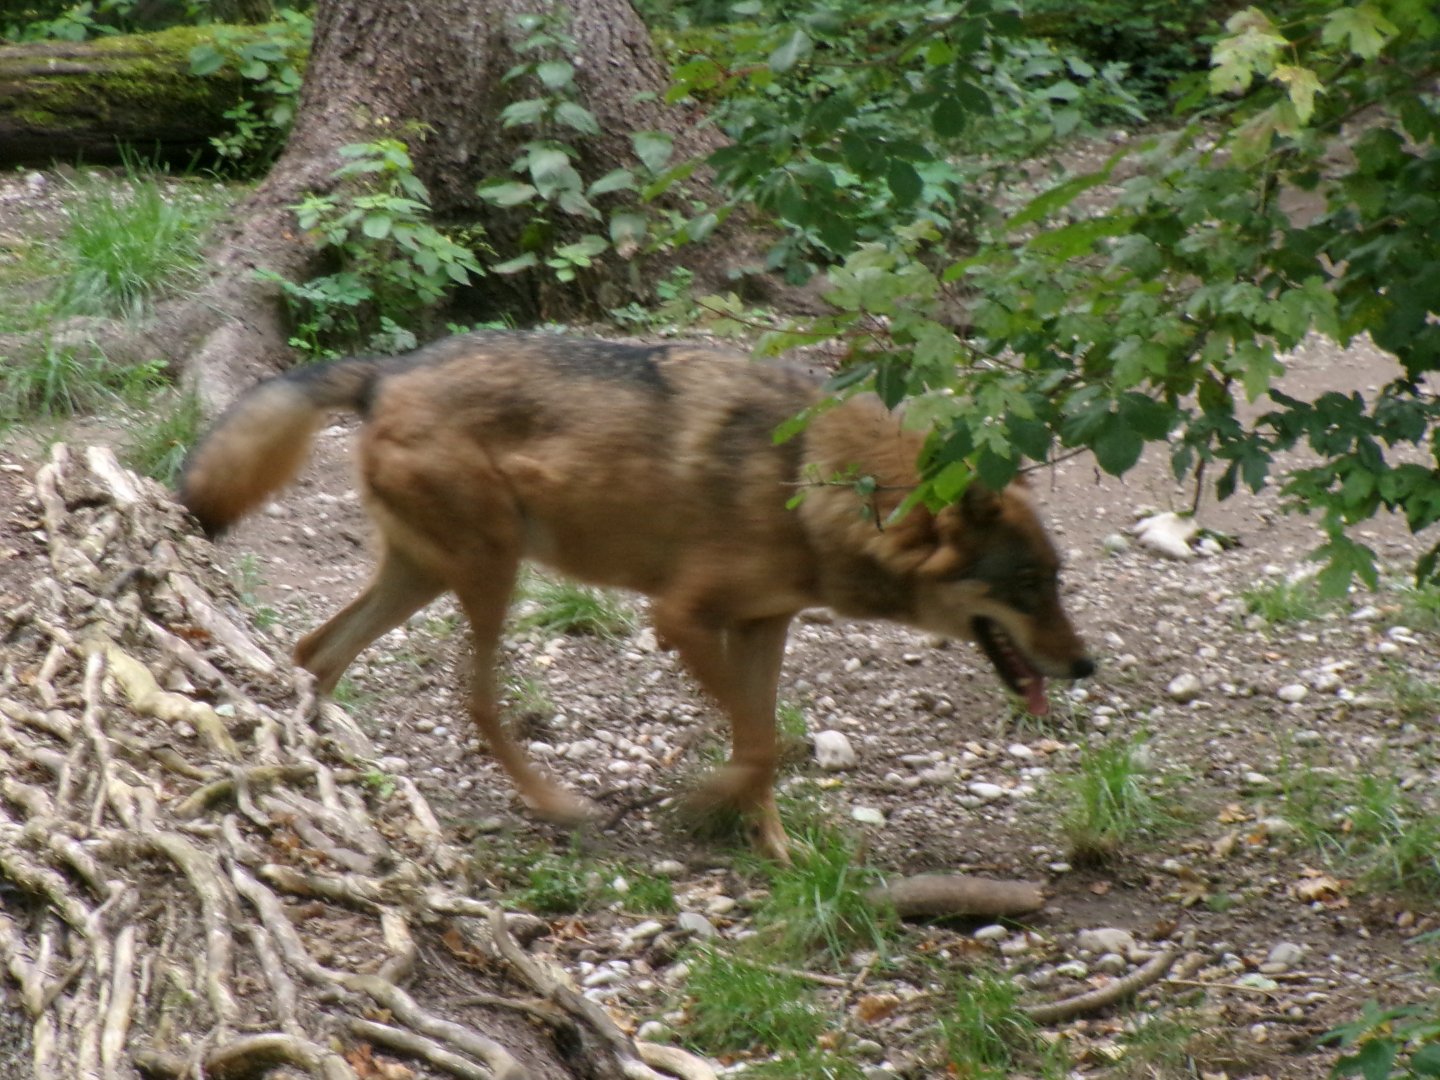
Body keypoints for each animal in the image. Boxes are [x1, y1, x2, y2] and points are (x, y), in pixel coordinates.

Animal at [180, 332, 1094, 860]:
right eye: (1027, 585)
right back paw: (556, 804)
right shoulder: (679, 616)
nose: (1084, 665)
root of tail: (386, 370)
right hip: (491, 574)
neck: (817, 484)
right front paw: (705, 803)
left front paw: (776, 848)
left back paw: (318, 757)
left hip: (425, 576)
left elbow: (763, 738)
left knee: (313, 652)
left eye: (1055, 581)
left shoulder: (765, 627)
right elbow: (759, 745)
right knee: (474, 700)